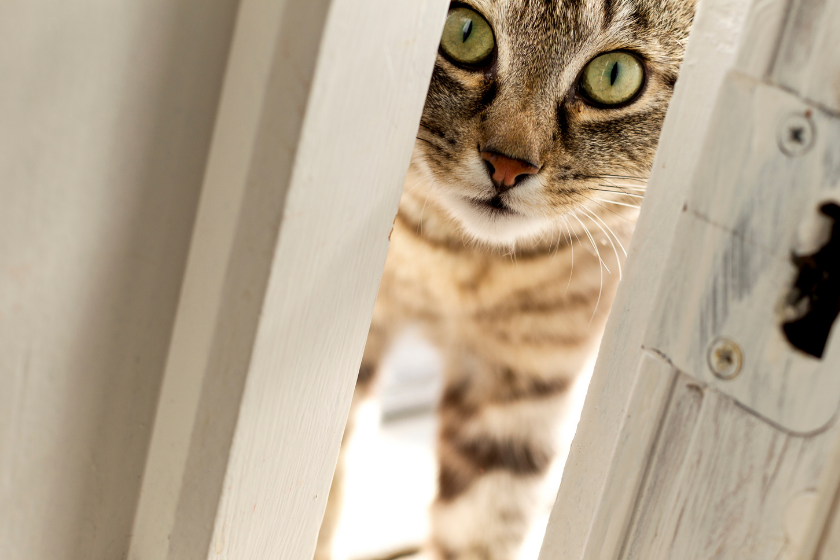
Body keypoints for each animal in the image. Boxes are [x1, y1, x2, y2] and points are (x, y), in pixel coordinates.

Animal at [316, 1, 696, 560]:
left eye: (613, 75)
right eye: (463, 29)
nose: (507, 165)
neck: (463, 263)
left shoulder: (524, 381)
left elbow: (480, 528)